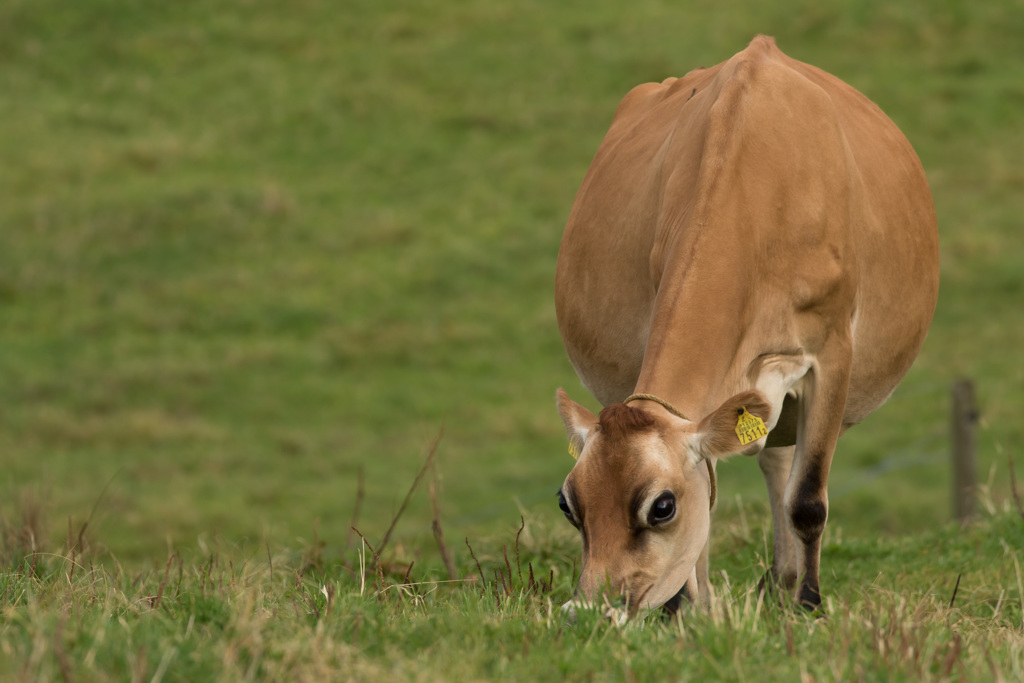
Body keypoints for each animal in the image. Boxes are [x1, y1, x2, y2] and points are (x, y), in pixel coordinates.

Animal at [552, 34, 937, 618]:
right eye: (567, 504)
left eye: (661, 507)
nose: (589, 613)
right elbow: (707, 508)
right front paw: (687, 612)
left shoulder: (832, 353)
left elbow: (808, 499)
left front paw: (809, 604)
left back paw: (785, 583)